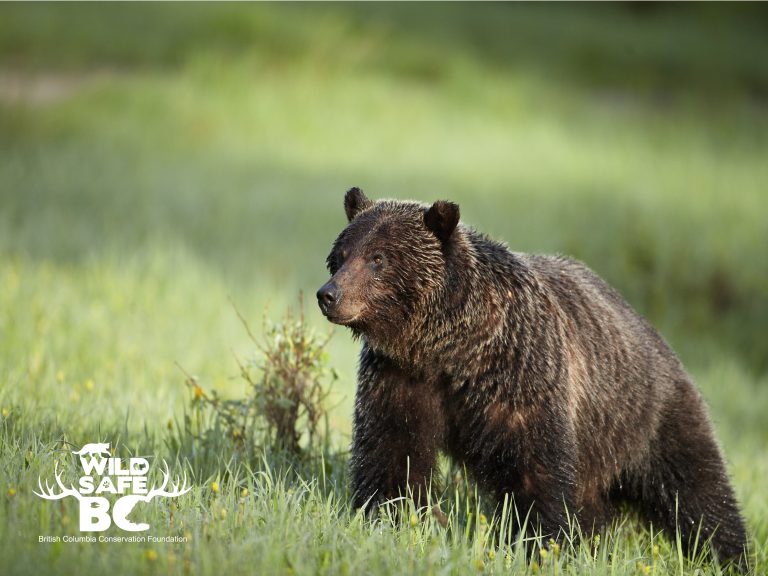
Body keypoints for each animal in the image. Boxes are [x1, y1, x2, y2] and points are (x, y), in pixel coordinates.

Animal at [316, 187, 748, 567]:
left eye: (379, 258)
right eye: (341, 254)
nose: (329, 295)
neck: (450, 350)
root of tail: (656, 336)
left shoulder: (521, 377)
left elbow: (534, 470)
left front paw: (541, 544)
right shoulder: (402, 378)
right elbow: (392, 454)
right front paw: (385, 521)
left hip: (647, 416)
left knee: (697, 490)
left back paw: (729, 555)